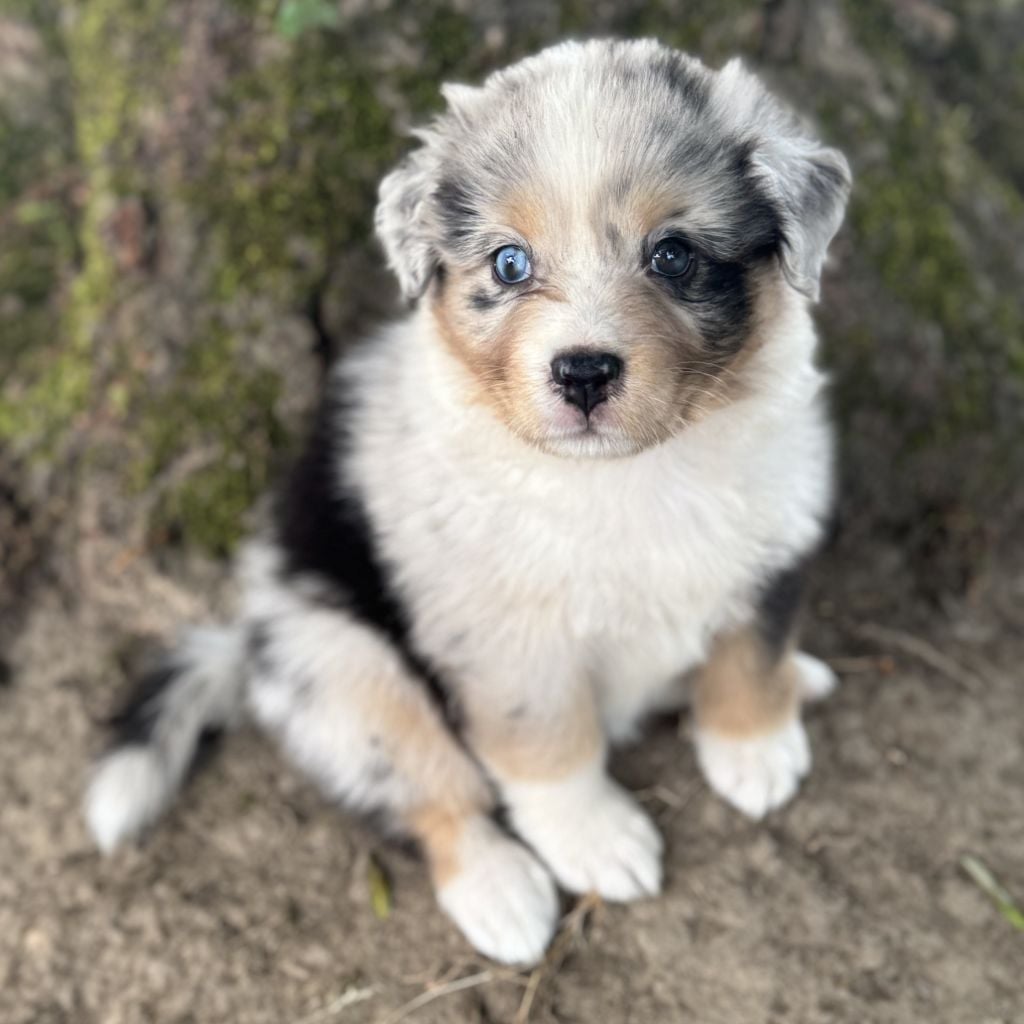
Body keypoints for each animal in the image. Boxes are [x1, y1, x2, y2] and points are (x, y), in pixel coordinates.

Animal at [85, 39, 850, 965]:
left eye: (673, 254)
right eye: (508, 264)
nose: (584, 372)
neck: (624, 473)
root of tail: (252, 645)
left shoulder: (778, 528)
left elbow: (752, 649)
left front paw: (756, 746)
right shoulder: (507, 642)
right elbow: (549, 750)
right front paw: (598, 840)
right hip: (346, 669)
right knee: (435, 794)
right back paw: (500, 892)